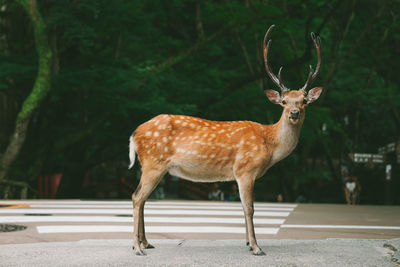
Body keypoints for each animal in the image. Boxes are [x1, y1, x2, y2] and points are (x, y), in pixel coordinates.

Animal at [130, 25, 324, 258]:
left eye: (304, 101)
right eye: (284, 102)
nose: (294, 113)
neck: (269, 144)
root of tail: (135, 133)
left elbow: (243, 207)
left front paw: (248, 242)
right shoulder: (245, 169)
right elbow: (249, 208)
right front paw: (256, 247)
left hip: (151, 165)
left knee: (141, 198)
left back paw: (146, 242)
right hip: (153, 162)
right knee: (137, 197)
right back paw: (138, 247)